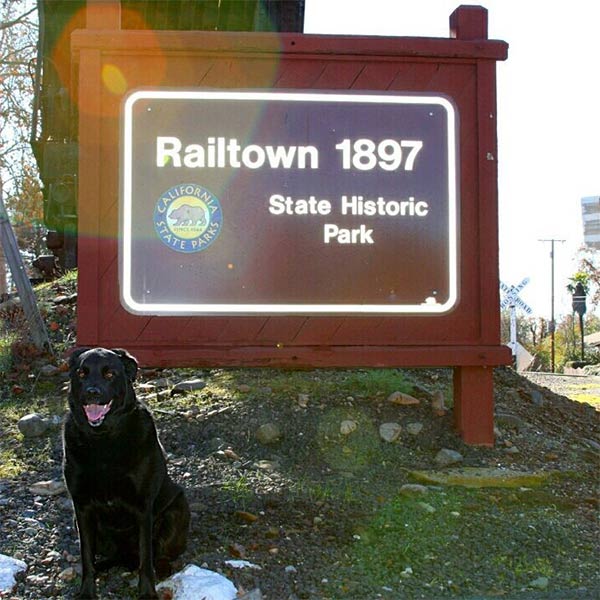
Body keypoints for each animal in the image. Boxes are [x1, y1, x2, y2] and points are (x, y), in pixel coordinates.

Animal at [63, 350, 190, 596]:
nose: (92, 392)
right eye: (81, 373)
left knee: (157, 554)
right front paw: (87, 592)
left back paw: (162, 568)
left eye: (110, 374)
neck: (103, 439)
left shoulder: (143, 507)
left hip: (177, 509)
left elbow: (146, 560)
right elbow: (86, 557)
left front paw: (148, 594)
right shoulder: (82, 508)